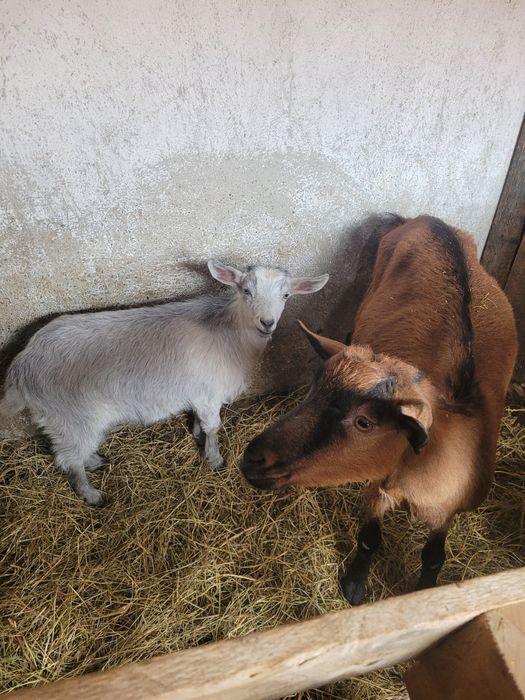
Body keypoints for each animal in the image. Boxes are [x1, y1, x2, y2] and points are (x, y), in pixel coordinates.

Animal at [0, 261, 328, 506]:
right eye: (246, 290)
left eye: (286, 296)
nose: (267, 323)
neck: (229, 331)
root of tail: (21, 366)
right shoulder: (209, 394)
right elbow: (214, 427)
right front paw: (214, 459)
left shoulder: (198, 392)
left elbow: (199, 420)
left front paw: (195, 434)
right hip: (71, 416)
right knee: (68, 459)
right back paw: (91, 494)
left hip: (65, 420)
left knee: (72, 451)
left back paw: (95, 461)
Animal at [242, 215, 517, 603]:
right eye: (313, 386)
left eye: (365, 422)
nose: (254, 459)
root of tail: (428, 220)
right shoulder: (378, 485)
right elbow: (370, 539)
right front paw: (355, 586)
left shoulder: (446, 510)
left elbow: (434, 556)